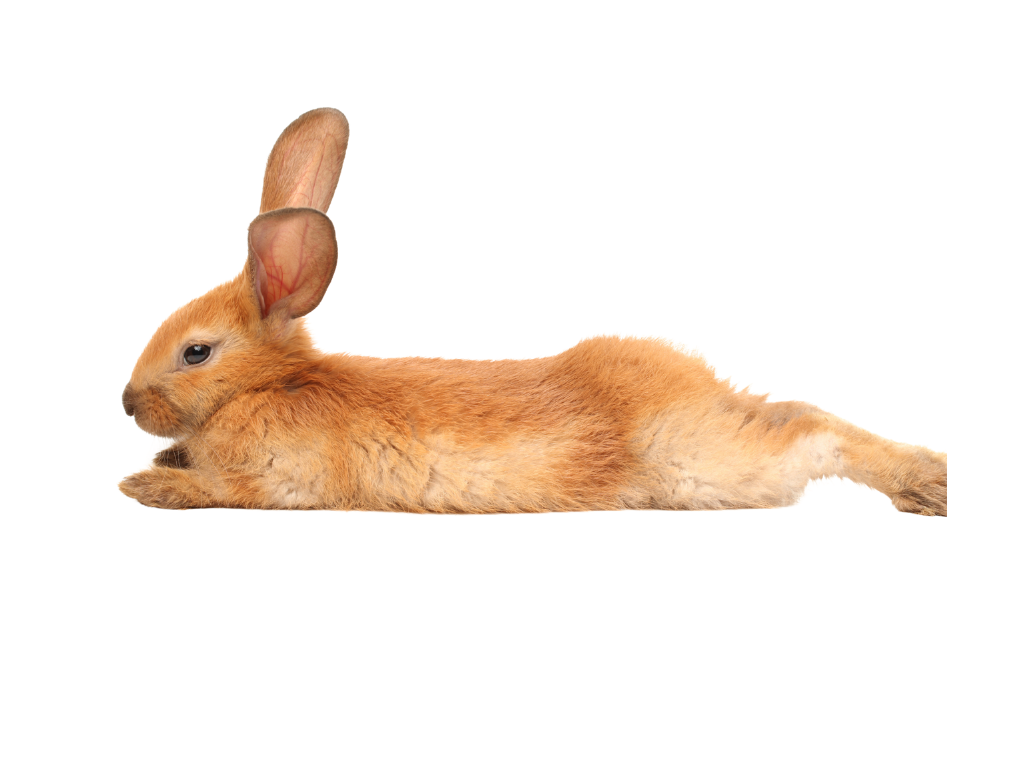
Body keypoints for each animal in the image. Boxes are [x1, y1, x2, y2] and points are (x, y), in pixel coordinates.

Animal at [117, 106, 947, 516]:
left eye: (196, 353)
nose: (127, 403)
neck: (270, 386)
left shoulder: (280, 482)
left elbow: (223, 491)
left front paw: (145, 487)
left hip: (708, 461)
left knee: (813, 429)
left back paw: (925, 486)